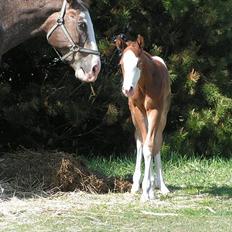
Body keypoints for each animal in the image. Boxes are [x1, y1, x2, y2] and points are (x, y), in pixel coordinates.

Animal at [115, 34, 171, 201]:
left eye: (138, 63)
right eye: (121, 64)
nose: (127, 89)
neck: (145, 84)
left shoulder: (155, 111)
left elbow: (151, 146)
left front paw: (148, 190)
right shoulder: (137, 111)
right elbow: (143, 145)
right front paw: (146, 189)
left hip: (162, 116)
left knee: (157, 141)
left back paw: (160, 186)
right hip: (136, 117)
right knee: (140, 140)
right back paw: (137, 185)